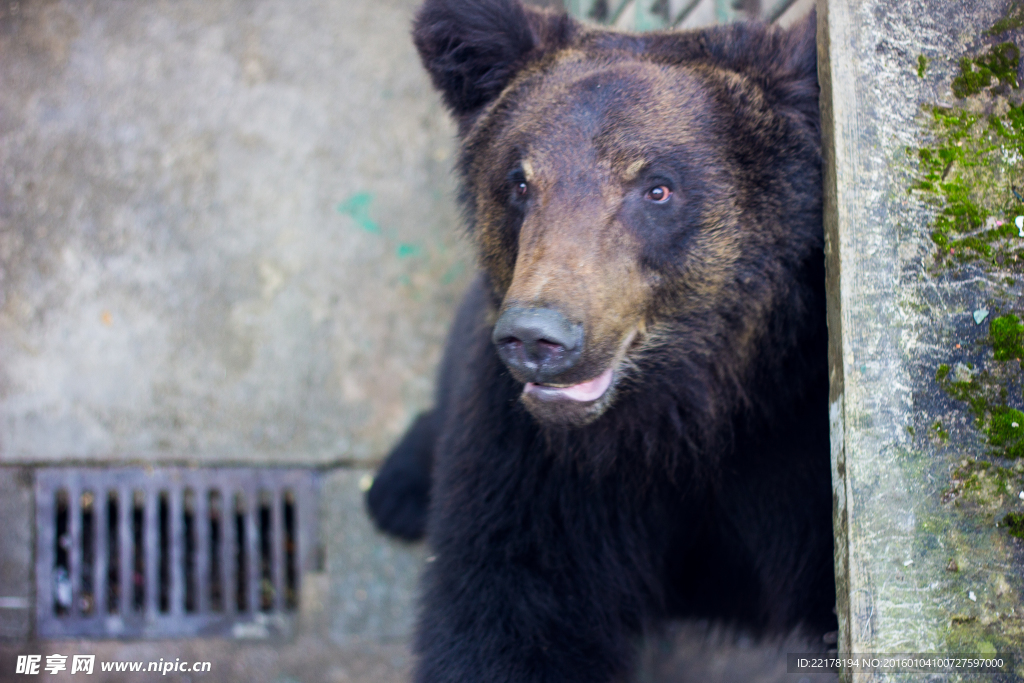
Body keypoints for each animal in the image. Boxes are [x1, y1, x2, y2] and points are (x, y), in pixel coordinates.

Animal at [364, 2, 835, 679]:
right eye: (520, 183)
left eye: (657, 187)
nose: (538, 336)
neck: (683, 412)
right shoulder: (542, 468)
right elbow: (508, 608)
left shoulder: (794, 438)